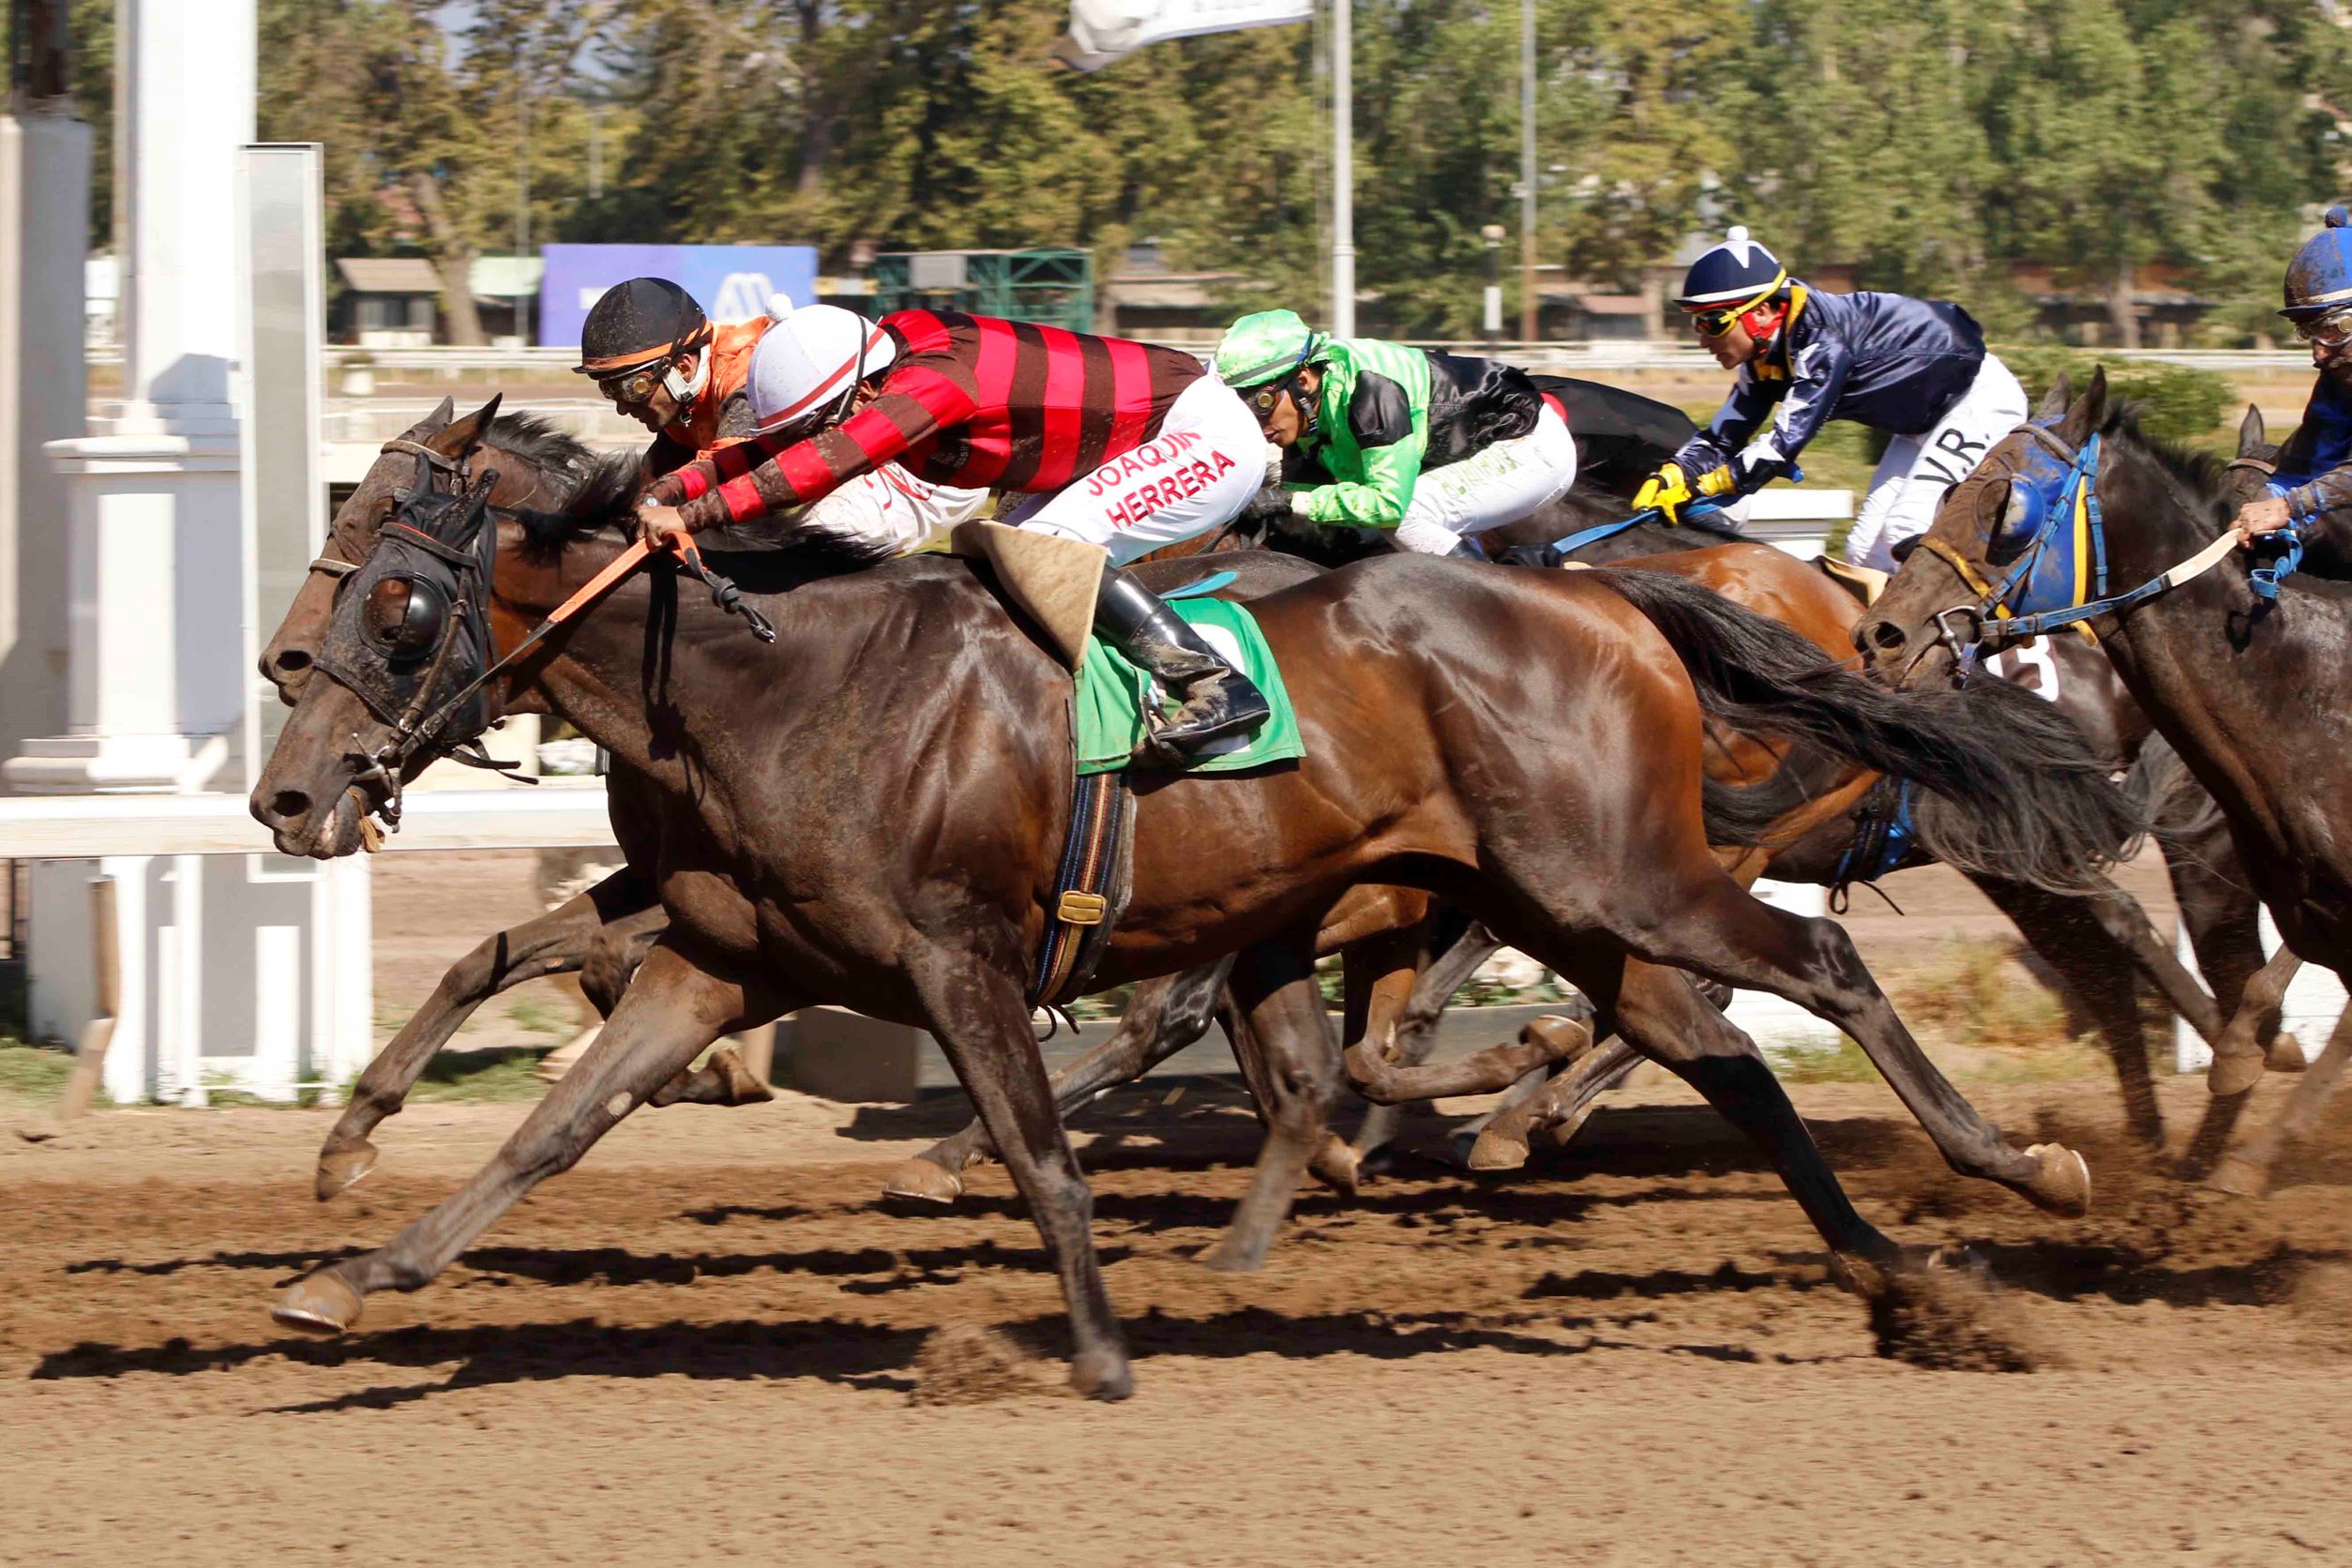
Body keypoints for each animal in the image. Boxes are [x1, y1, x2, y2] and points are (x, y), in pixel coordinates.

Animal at [251, 450, 2122, 1398]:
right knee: (1713, 1048)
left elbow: (1037, 1147)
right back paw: (1885, 1272)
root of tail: (1612, 596)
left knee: (1817, 969)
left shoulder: (956, 956)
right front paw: (352, 1271)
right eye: (316, 574)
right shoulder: (726, 960)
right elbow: (553, 1127)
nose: (286, 794)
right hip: (1568, 899)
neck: (783, 681)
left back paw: (2020, 1174)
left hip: (1616, 880)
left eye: (397, 595)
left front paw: (1091, 1349)